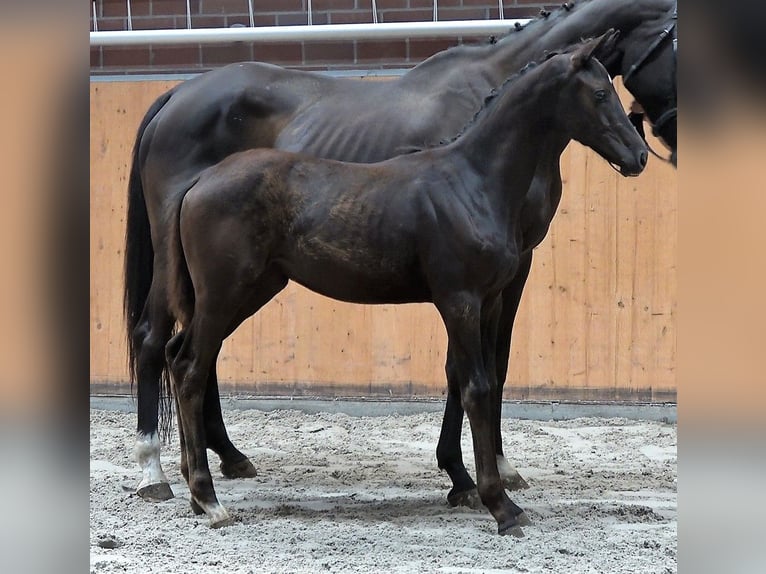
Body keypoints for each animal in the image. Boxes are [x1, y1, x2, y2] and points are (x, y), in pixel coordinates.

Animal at [124, 2, 680, 508]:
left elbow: (487, 367)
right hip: (212, 281)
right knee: (162, 344)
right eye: (601, 93)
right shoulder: (471, 290)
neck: (473, 171)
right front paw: (471, 479)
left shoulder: (497, 282)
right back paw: (164, 476)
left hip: (244, 286)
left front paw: (480, 473)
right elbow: (472, 375)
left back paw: (220, 461)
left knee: (192, 353)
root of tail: (175, 96)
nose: (640, 156)